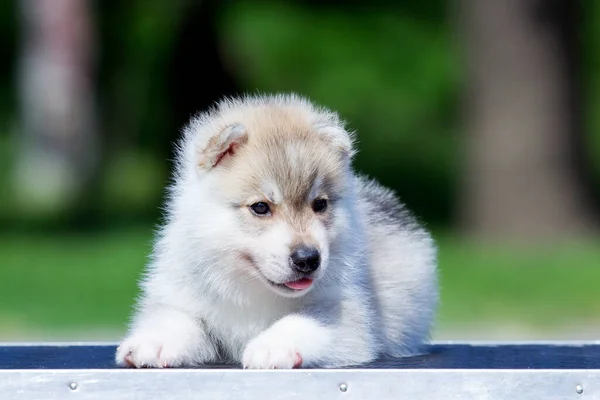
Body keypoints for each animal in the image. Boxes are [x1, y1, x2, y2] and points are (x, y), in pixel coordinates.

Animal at [116, 94, 436, 368]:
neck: (253, 289)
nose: (308, 259)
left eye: (320, 204)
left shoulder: (347, 312)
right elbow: (175, 319)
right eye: (260, 207)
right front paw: (154, 342)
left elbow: (304, 320)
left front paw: (273, 346)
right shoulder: (182, 296)